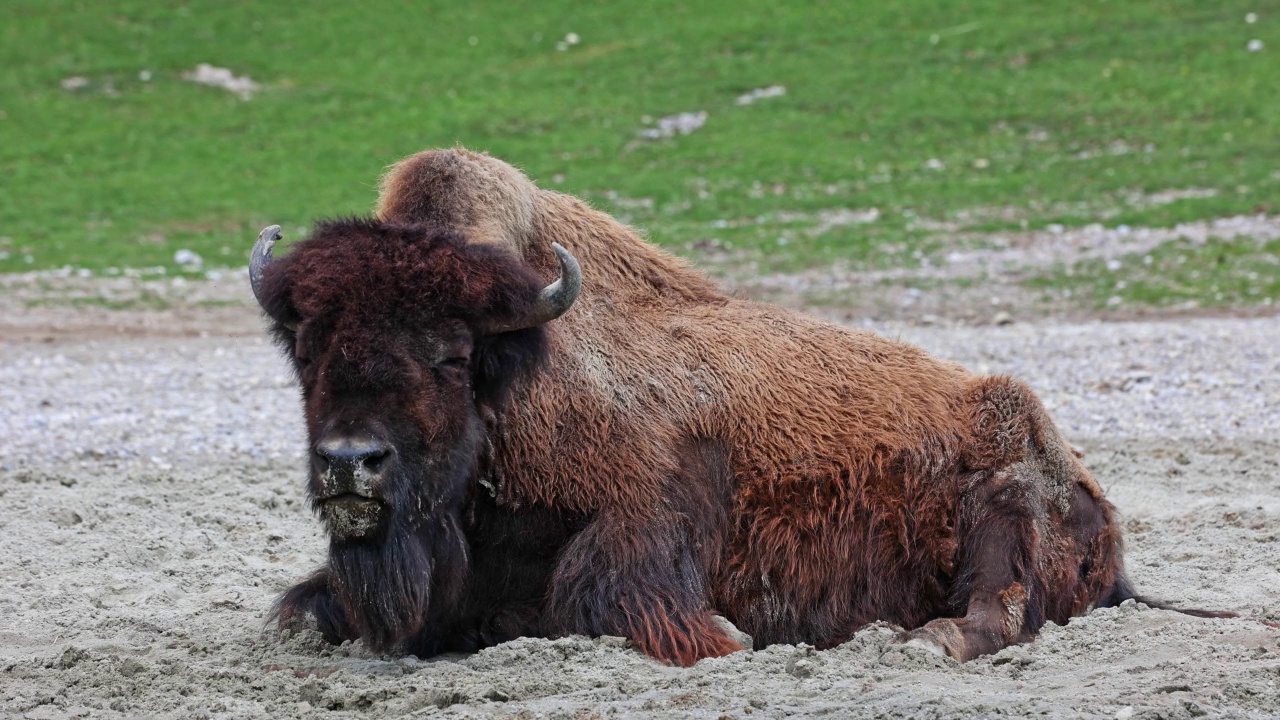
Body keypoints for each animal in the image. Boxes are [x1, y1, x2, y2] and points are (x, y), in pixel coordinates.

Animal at [249, 148, 1218, 666]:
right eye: (308, 347)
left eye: (453, 354)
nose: (351, 463)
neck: (519, 374)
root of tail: (1101, 512)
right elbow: (304, 609)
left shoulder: (645, 527)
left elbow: (600, 595)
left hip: (1005, 500)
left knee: (998, 611)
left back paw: (920, 640)